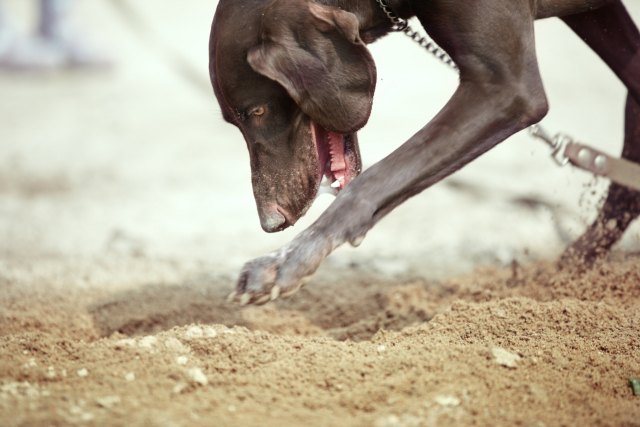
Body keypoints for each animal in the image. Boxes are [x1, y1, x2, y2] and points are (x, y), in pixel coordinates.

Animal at [210, 0, 640, 308]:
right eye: (236, 121)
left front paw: (287, 259)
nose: (270, 223)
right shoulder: (598, 14)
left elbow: (375, 180)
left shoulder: (507, 90)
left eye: (258, 111)